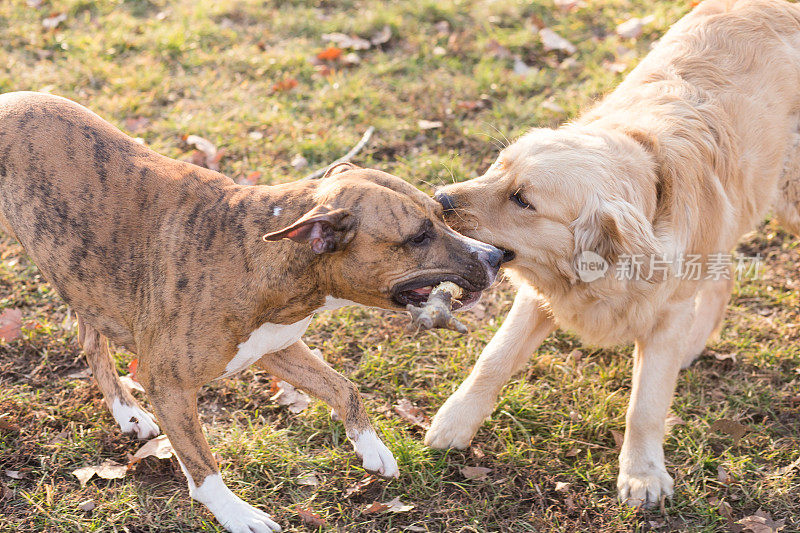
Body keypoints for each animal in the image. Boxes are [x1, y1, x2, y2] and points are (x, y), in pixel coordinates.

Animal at [424, 0, 800, 508]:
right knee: (722, 277)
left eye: (523, 199)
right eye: (496, 167)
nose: (439, 199)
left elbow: (645, 406)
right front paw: (455, 422)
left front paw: (642, 473)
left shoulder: (666, 312)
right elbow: (494, 359)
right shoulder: (539, 298)